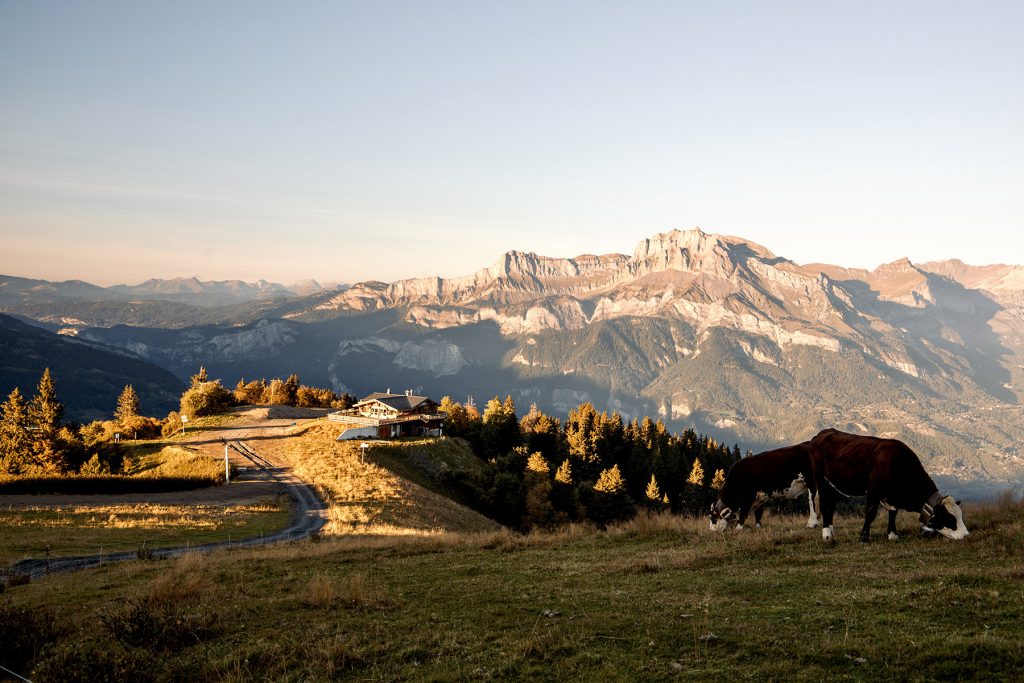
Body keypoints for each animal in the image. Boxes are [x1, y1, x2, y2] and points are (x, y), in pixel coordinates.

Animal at [806, 428, 966, 544]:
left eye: (960, 515)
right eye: (950, 518)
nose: (966, 535)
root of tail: (822, 434)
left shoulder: (891, 496)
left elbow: (893, 513)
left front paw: (893, 535)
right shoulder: (873, 491)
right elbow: (870, 514)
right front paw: (864, 538)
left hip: (831, 484)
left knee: (831, 505)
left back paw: (831, 530)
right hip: (820, 479)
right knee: (825, 504)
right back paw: (827, 535)